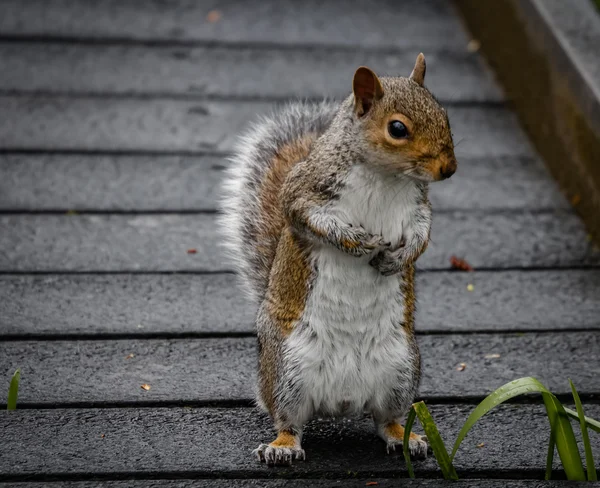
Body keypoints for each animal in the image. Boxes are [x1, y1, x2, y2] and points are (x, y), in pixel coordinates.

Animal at [219, 53, 454, 466]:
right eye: (397, 128)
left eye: (445, 115)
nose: (449, 168)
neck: (385, 175)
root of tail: (342, 400)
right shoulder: (303, 191)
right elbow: (309, 218)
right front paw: (357, 241)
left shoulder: (418, 207)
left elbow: (422, 235)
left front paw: (399, 258)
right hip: (286, 372)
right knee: (289, 421)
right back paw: (282, 446)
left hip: (401, 369)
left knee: (386, 419)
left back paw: (406, 439)